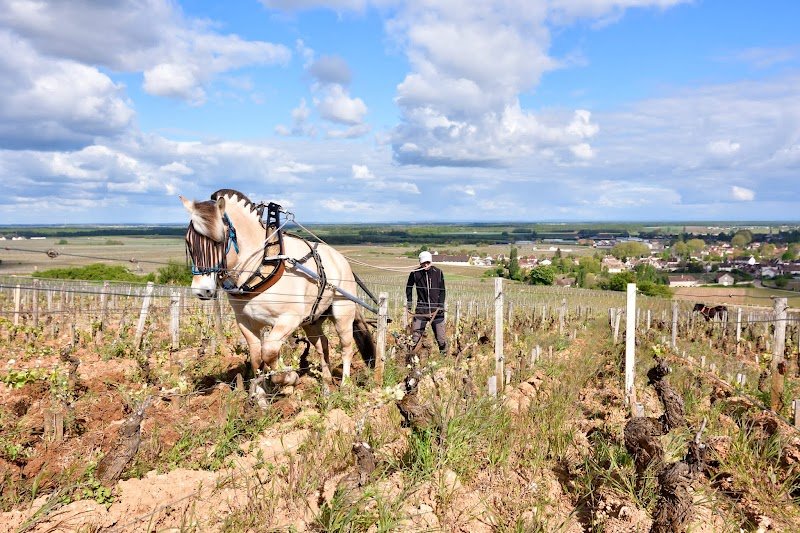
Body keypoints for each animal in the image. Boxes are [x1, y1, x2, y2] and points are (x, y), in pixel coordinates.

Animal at [180, 189, 375, 396]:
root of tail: (341, 260)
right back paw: (326, 383)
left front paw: (289, 378)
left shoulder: (288, 319)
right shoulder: (245, 322)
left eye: (218, 240)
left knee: (346, 347)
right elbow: (257, 357)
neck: (262, 264)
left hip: (342, 313)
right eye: (188, 241)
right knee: (323, 345)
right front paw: (260, 392)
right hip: (312, 320)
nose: (202, 290)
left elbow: (269, 351)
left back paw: (345, 385)